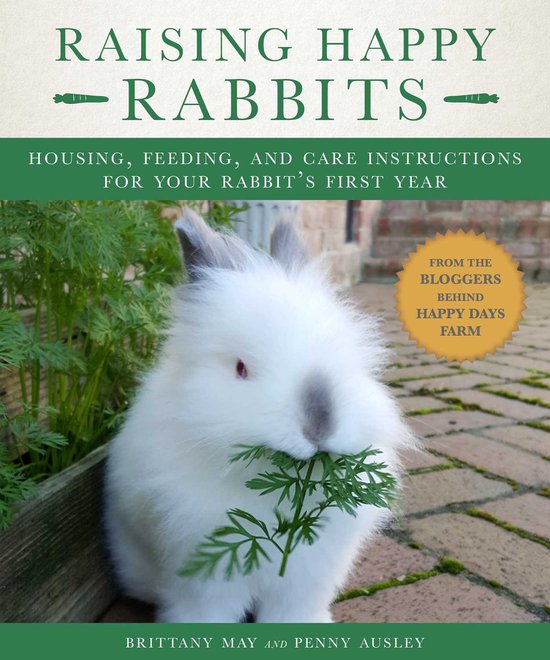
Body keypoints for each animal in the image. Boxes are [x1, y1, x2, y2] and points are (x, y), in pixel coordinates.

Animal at [104, 209, 414, 623]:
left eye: (345, 353)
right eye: (240, 368)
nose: (319, 422)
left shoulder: (308, 573)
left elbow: (293, 608)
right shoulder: (204, 572)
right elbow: (206, 611)